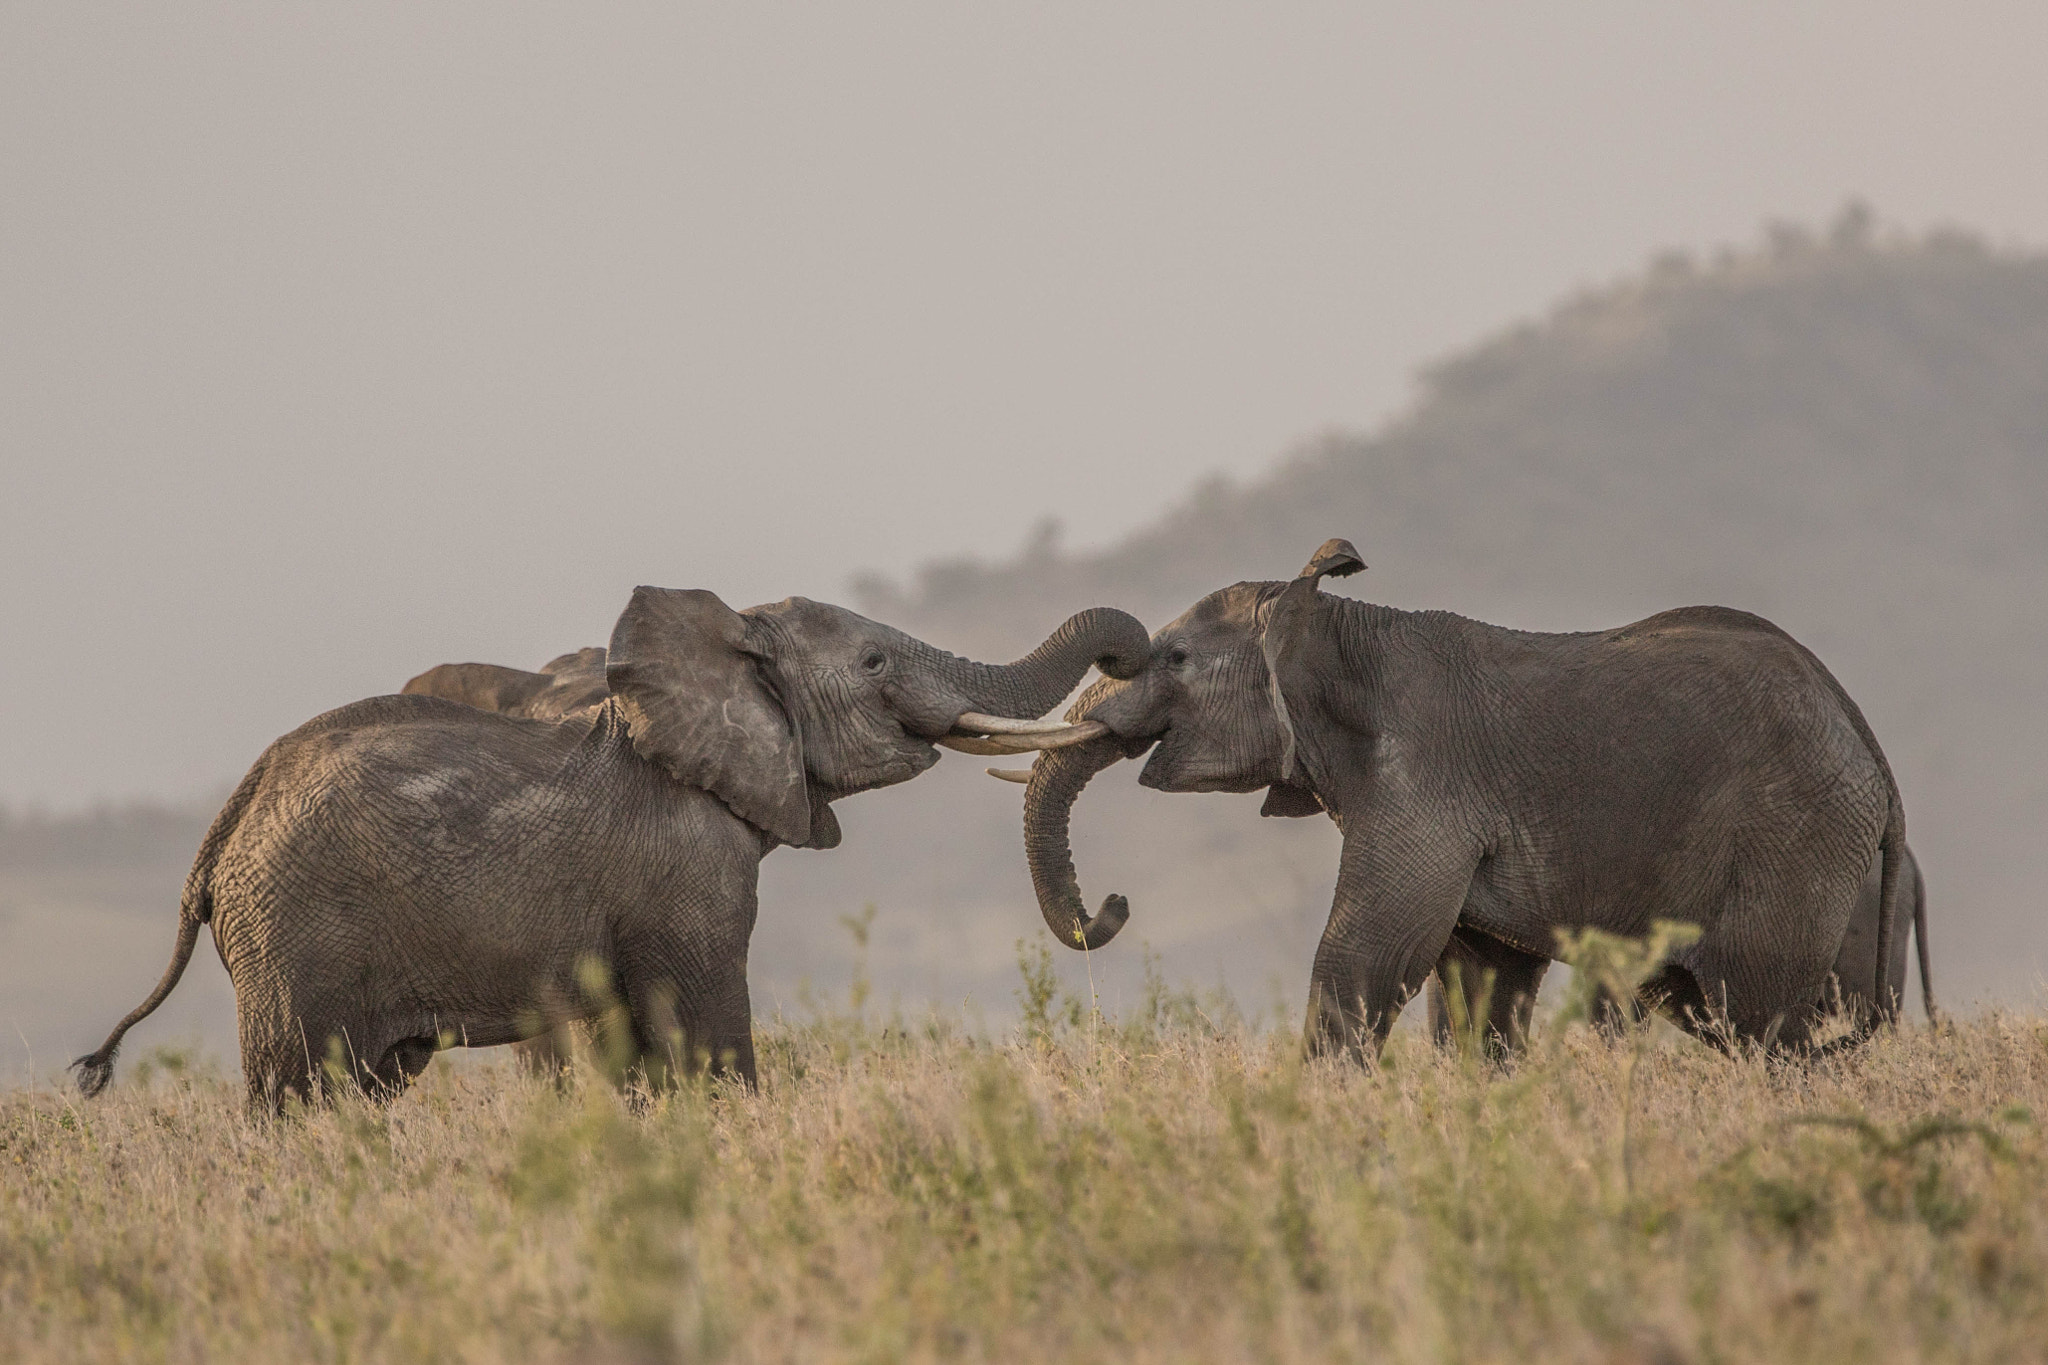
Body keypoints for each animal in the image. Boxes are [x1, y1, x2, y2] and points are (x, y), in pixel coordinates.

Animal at [72, 593, 1146, 1105]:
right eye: (875, 661)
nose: (1115, 906)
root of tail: (223, 831)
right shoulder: (688, 865)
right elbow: (709, 1027)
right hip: (294, 934)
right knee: (298, 1092)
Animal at [1007, 540, 1916, 1064]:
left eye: (1177, 658)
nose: (1115, 905)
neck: (1333, 627)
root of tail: (1870, 747)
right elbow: (1479, 987)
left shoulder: (1423, 782)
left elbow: (1366, 956)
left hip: (1794, 835)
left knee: (1756, 1017)